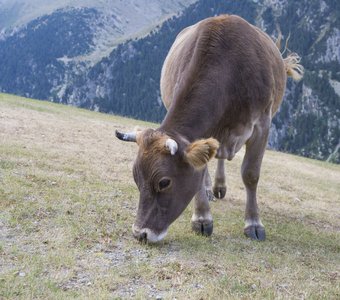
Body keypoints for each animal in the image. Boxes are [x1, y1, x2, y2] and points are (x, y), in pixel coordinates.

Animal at [115, 14, 302, 244]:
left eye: (164, 182)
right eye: (136, 178)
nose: (140, 233)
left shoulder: (262, 125)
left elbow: (250, 174)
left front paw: (253, 224)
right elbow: (200, 169)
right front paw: (202, 218)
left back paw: (219, 187)